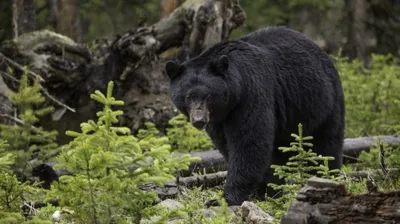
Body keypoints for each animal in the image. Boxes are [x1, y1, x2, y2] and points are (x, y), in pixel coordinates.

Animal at [164, 25, 346, 205]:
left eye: (208, 96)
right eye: (188, 97)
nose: (199, 120)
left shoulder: (250, 95)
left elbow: (249, 143)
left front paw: (226, 198)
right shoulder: (219, 120)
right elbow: (227, 145)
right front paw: (262, 190)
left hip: (324, 102)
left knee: (326, 145)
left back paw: (326, 177)